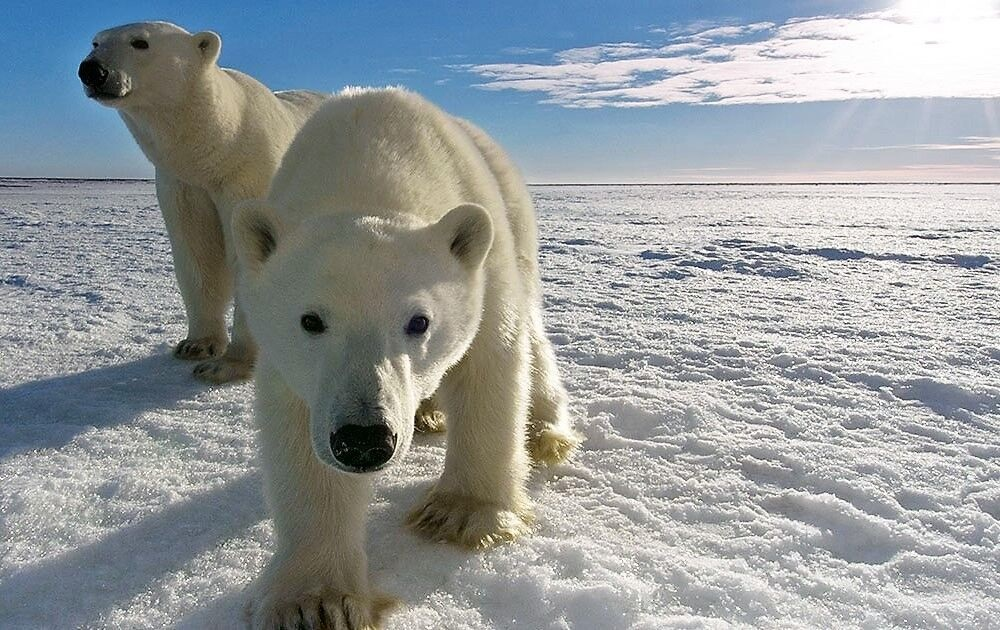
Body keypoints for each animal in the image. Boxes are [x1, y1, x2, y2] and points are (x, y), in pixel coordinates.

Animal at [79, 21, 327, 383]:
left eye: (140, 42)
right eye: (96, 43)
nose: (92, 70)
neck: (225, 141)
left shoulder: (248, 175)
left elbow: (248, 256)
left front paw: (230, 364)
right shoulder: (184, 184)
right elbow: (197, 253)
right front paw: (196, 346)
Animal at [231, 87, 582, 629]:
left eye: (419, 321)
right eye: (310, 320)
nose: (364, 438)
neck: (371, 169)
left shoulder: (482, 268)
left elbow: (490, 363)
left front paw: (462, 513)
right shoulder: (295, 366)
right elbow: (299, 435)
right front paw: (313, 602)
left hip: (515, 219)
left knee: (531, 327)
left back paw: (544, 431)